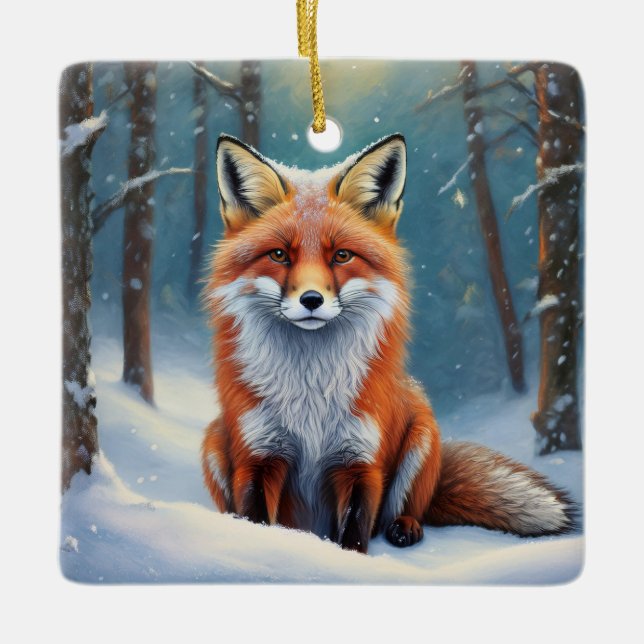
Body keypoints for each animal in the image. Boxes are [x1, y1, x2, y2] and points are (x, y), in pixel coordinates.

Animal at [201, 133, 575, 554]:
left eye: (342, 255)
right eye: (279, 255)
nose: (311, 300)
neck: (310, 391)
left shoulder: (360, 460)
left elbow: (355, 534)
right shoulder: (258, 455)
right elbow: (256, 519)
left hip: (421, 437)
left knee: (408, 509)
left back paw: (406, 527)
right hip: (214, 442)